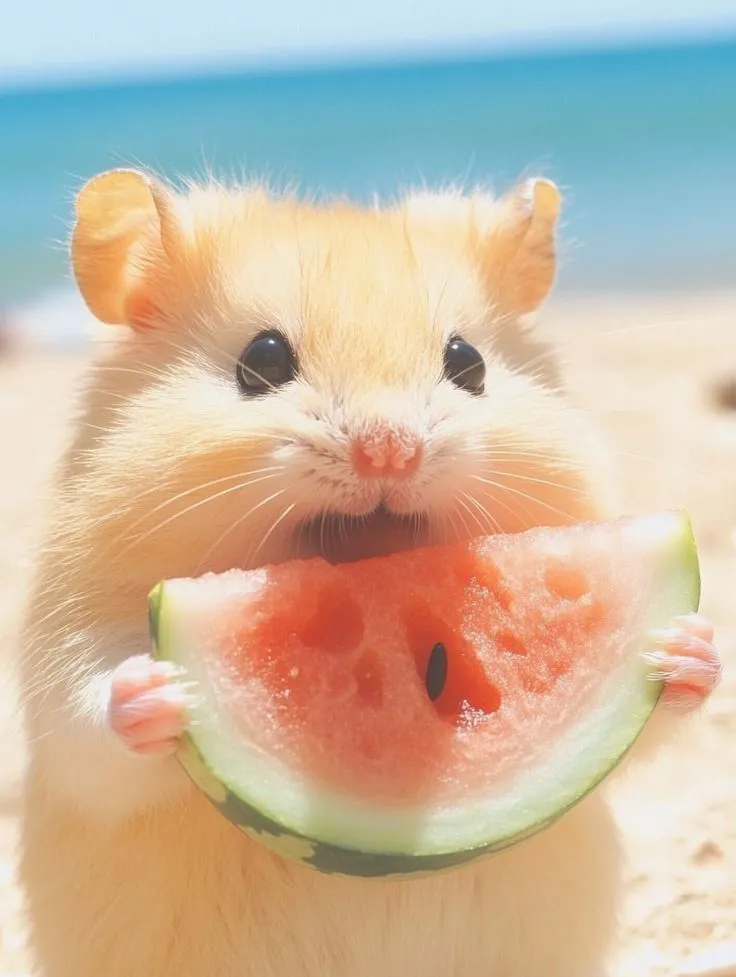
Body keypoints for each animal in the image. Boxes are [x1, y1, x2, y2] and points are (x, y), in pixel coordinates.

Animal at [17, 168, 721, 977]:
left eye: (468, 363)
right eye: (262, 360)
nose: (391, 451)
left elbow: (661, 726)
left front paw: (688, 649)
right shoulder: (65, 642)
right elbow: (91, 726)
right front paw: (159, 688)